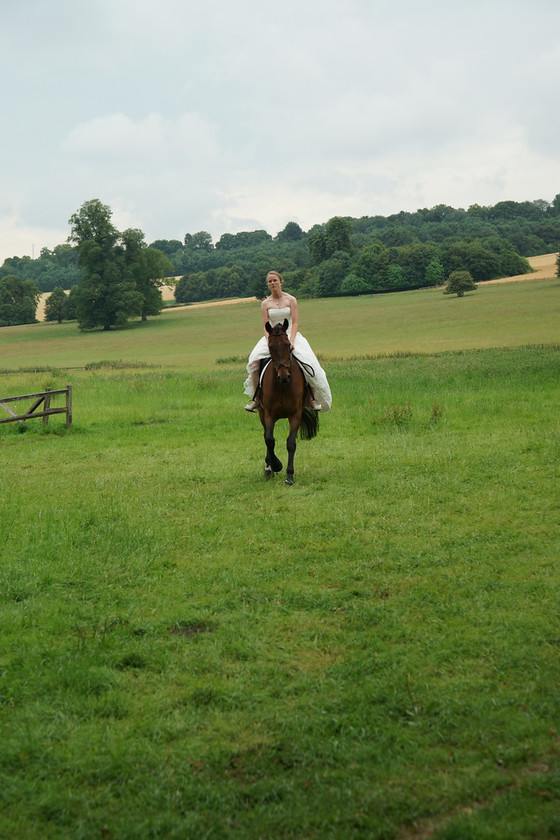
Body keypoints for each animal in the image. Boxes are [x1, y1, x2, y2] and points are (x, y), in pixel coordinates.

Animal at [256, 316, 318, 486]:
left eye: (287, 345)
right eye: (270, 347)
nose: (284, 377)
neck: (283, 387)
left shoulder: (295, 414)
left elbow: (291, 443)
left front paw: (289, 475)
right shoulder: (269, 414)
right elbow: (269, 440)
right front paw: (275, 465)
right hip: (261, 413)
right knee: (265, 436)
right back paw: (268, 468)